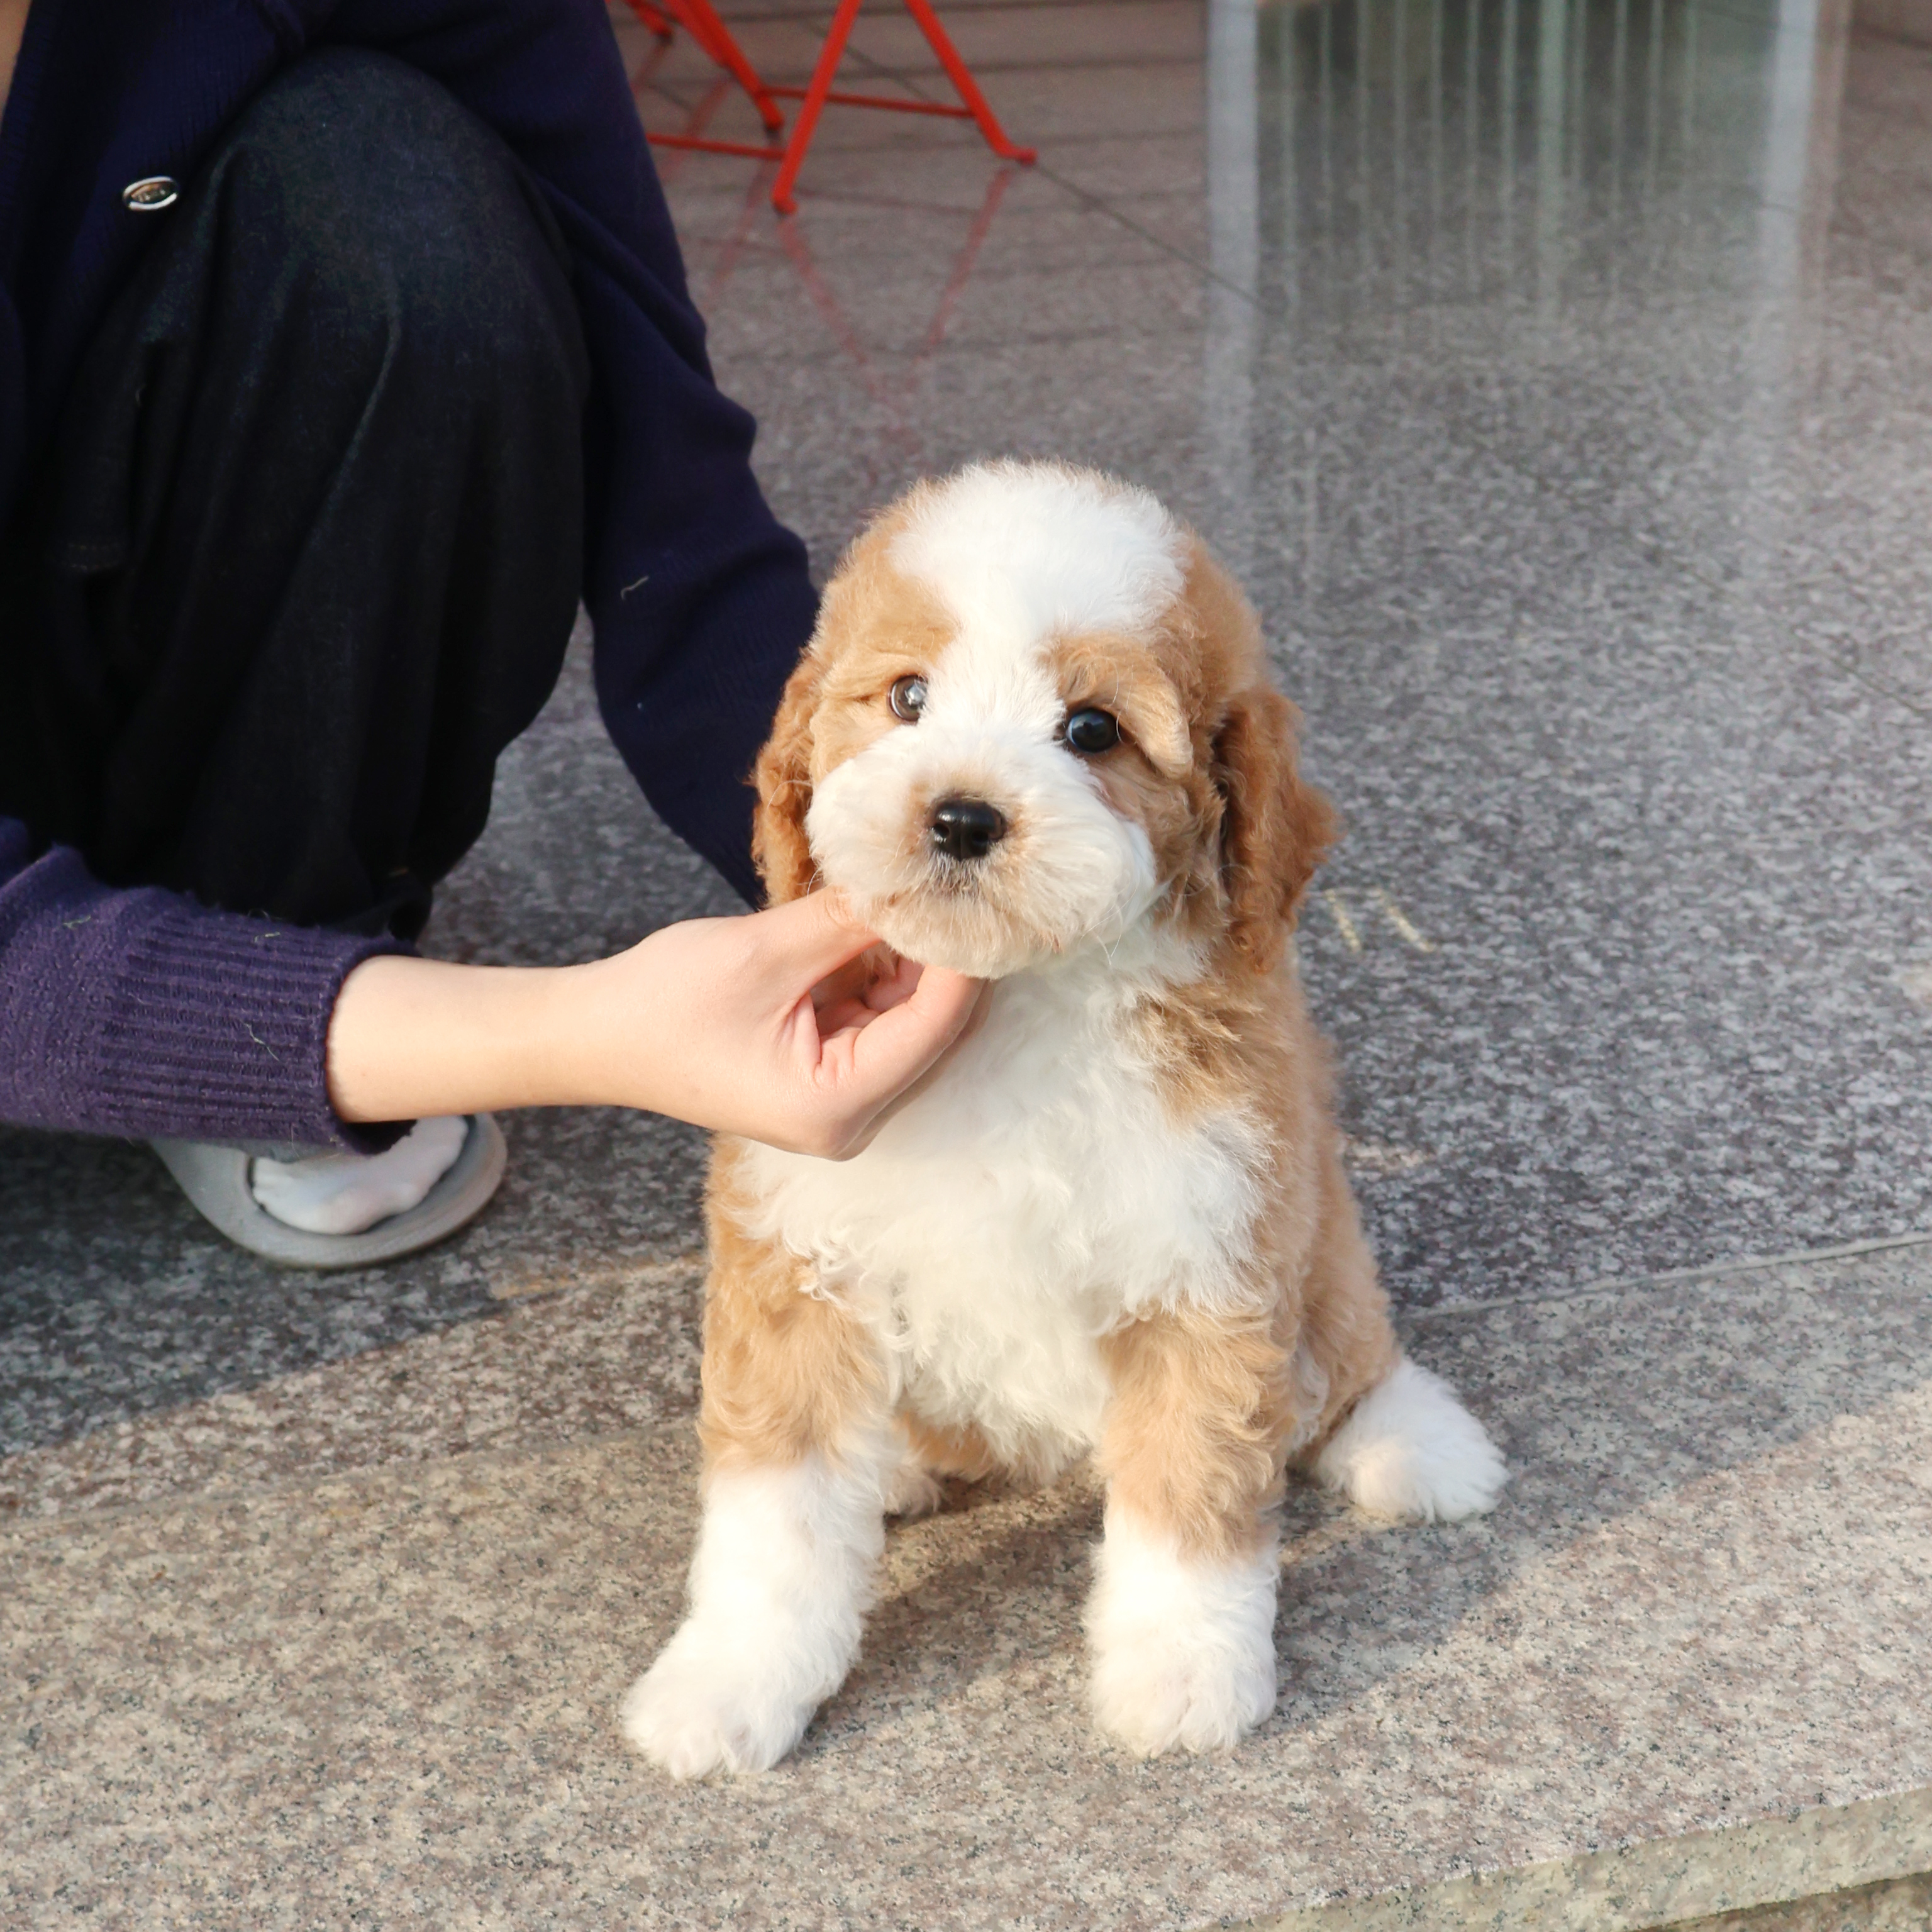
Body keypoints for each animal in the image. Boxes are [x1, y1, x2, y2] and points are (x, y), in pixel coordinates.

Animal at [621, 460, 1506, 1775]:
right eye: (908, 697)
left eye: (1091, 729)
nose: (959, 816)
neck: (1021, 998)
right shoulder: (794, 1252)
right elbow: (775, 1517)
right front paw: (728, 1683)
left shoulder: (1210, 1250)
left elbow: (1192, 1488)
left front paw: (1181, 1673)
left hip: (1315, 1224)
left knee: (1343, 1346)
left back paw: (1416, 1443)